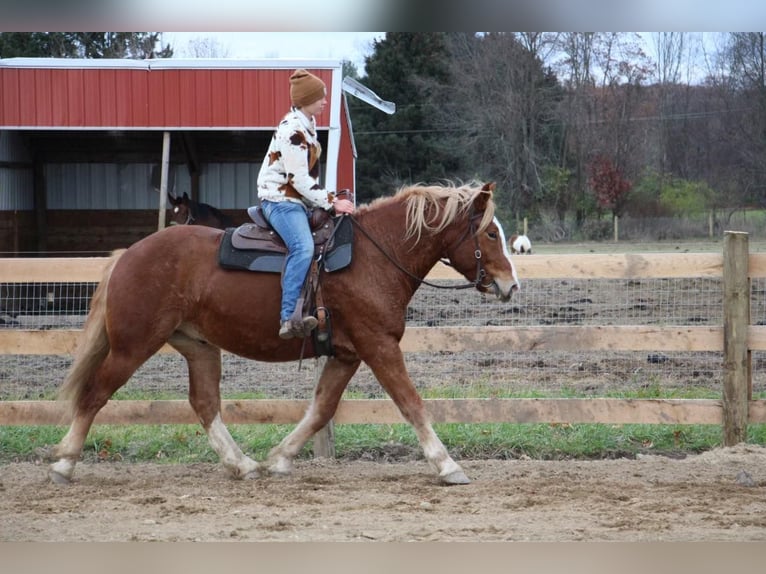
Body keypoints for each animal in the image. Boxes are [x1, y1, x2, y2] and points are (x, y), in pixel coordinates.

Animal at [49, 182, 520, 488]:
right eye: (490, 232)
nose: (511, 285)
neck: (376, 256)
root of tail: (128, 255)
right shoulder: (379, 346)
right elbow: (411, 403)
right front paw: (447, 465)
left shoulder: (347, 354)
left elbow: (321, 410)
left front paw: (279, 459)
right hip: (132, 346)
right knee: (94, 394)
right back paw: (64, 464)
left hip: (199, 347)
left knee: (204, 404)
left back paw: (243, 465)